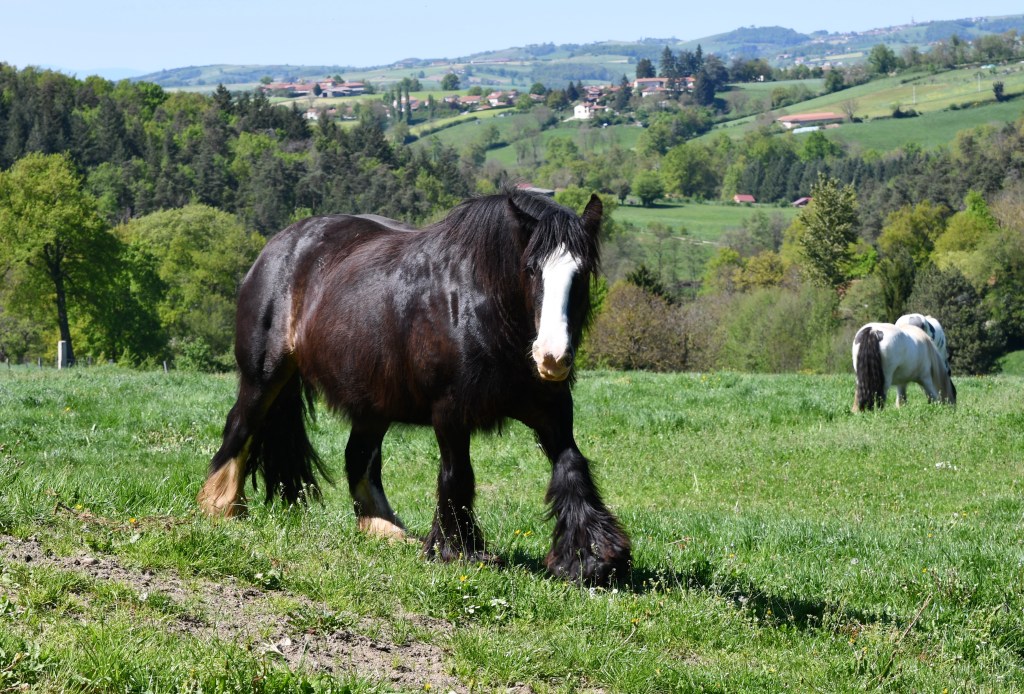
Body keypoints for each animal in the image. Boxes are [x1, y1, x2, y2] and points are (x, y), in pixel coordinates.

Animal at [196, 189, 631, 585]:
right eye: (530, 269)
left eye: (581, 273)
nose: (551, 358)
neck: (483, 306)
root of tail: (277, 246)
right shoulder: (450, 412)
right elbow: (458, 475)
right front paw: (458, 551)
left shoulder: (552, 411)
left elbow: (571, 468)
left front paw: (592, 559)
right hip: (264, 375)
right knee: (240, 428)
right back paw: (219, 508)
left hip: (372, 403)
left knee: (358, 459)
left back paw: (388, 531)